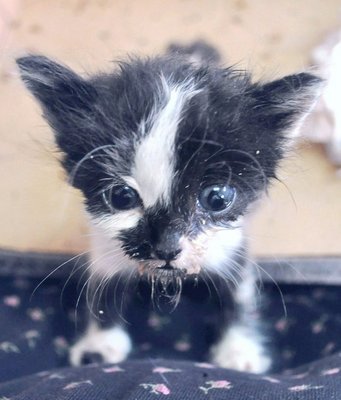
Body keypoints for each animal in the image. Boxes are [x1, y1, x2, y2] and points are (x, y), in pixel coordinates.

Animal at [16, 45, 322, 374]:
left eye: (217, 198)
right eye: (121, 196)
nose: (166, 248)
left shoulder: (231, 242)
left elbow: (238, 289)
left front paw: (238, 348)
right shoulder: (104, 241)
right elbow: (104, 283)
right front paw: (99, 343)